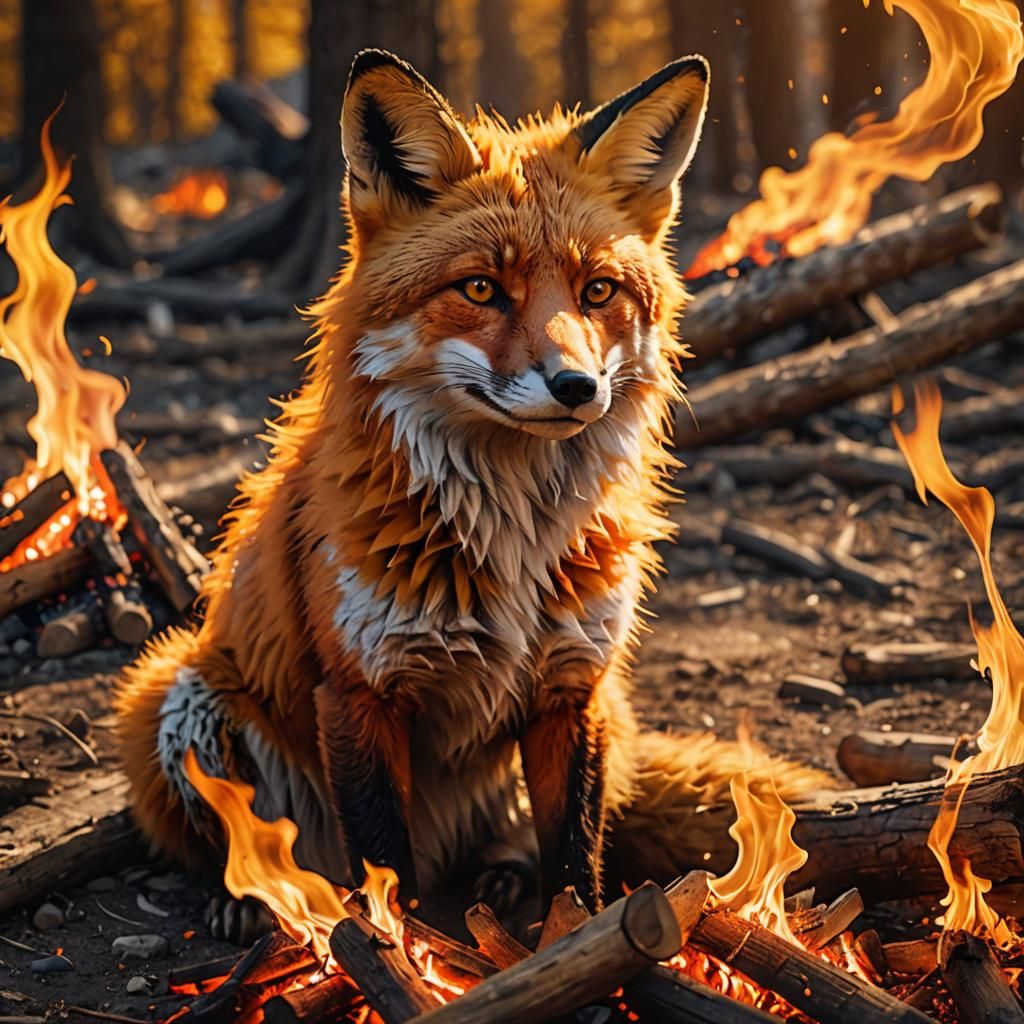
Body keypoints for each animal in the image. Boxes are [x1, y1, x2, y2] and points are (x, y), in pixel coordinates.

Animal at [116, 49, 826, 935]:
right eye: (483, 289)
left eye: (597, 292)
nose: (577, 386)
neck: (512, 536)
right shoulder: (360, 692)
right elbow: (387, 869)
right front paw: (406, 954)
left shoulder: (572, 686)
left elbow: (575, 859)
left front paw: (578, 944)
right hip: (177, 696)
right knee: (249, 844)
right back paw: (247, 900)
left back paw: (501, 880)